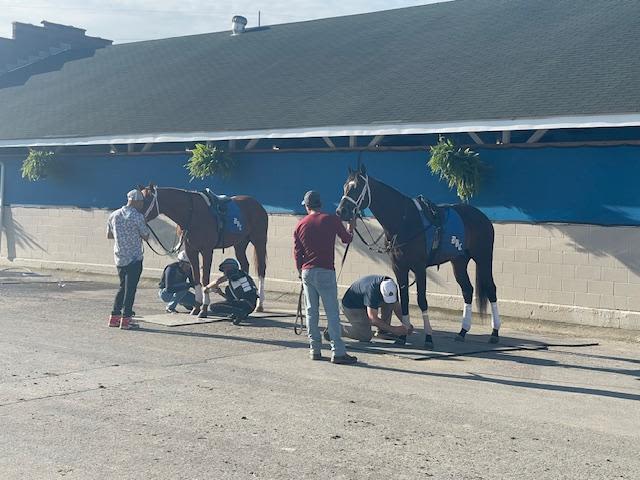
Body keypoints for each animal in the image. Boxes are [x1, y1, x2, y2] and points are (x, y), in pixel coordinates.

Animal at [139, 186, 268, 316]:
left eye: (146, 200)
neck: (192, 214)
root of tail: (257, 204)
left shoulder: (206, 251)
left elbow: (205, 278)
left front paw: (204, 309)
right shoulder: (191, 251)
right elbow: (196, 278)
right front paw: (196, 307)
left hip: (259, 241)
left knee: (261, 269)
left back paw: (259, 305)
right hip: (240, 244)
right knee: (244, 265)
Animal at [336, 165, 500, 348]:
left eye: (356, 187)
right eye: (345, 186)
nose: (341, 211)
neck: (403, 221)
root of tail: (482, 217)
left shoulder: (420, 268)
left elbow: (422, 300)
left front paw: (428, 337)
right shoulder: (399, 268)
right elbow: (405, 300)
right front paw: (403, 336)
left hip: (484, 258)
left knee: (491, 289)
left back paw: (494, 333)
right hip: (459, 262)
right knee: (467, 290)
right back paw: (463, 331)